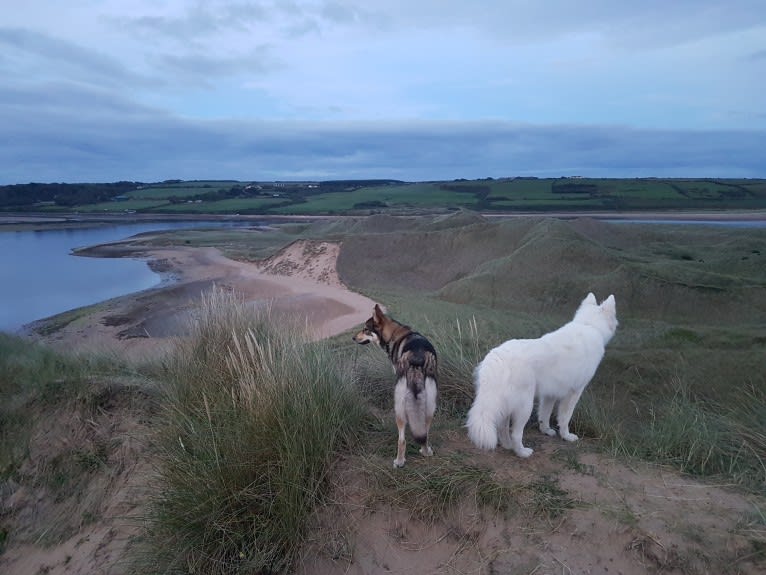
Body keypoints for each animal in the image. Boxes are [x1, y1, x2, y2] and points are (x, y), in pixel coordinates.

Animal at [354, 306, 438, 468]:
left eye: (365, 329)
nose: (353, 338)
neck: (394, 334)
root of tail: (416, 359)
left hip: (399, 407)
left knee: (401, 440)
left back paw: (399, 461)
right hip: (431, 405)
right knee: (424, 433)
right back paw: (426, 451)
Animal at [468, 292, 616, 460]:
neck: (588, 324)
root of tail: (498, 359)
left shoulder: (549, 394)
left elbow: (544, 414)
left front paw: (546, 430)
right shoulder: (574, 393)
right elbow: (565, 418)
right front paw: (566, 436)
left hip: (506, 404)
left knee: (502, 428)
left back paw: (507, 445)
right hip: (525, 407)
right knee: (516, 434)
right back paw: (522, 452)